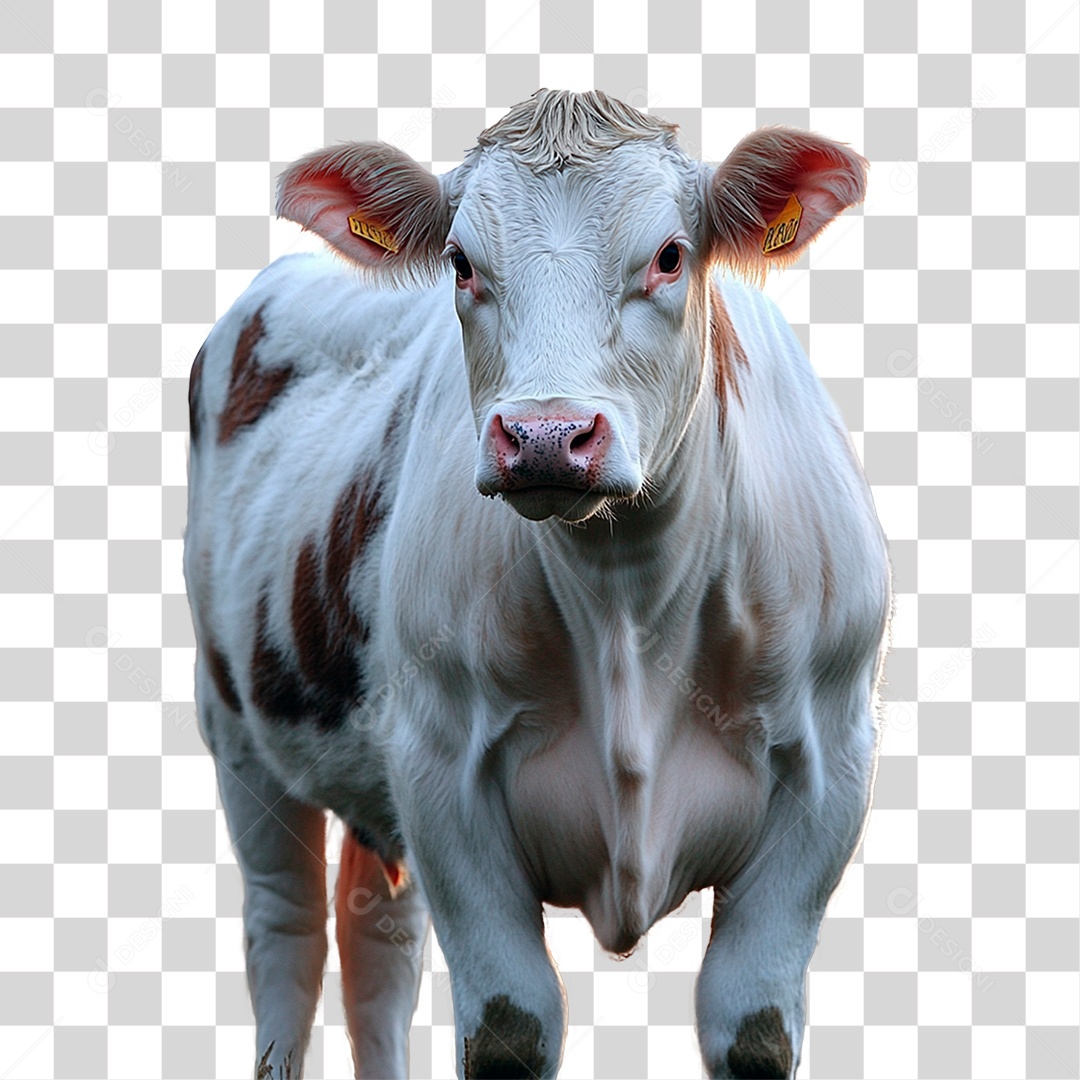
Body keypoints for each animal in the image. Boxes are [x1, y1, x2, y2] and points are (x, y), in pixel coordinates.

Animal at [184, 89, 891, 1080]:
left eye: (670, 255)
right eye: (461, 263)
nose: (547, 437)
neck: (627, 601)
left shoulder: (830, 770)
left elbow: (751, 1029)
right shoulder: (441, 772)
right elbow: (509, 1030)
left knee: (379, 948)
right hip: (240, 737)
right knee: (286, 934)